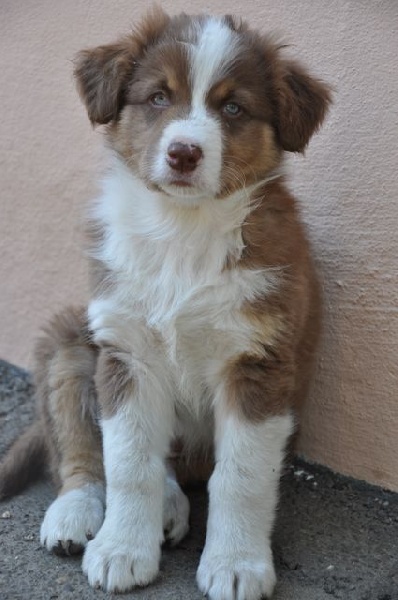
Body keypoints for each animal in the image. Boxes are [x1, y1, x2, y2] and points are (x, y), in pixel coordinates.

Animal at [0, 5, 332, 600]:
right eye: (158, 97)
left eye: (232, 107)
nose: (183, 152)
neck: (183, 229)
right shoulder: (125, 351)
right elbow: (129, 462)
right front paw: (121, 550)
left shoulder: (259, 362)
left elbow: (242, 476)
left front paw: (236, 564)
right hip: (68, 337)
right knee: (77, 451)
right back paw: (76, 515)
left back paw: (173, 507)